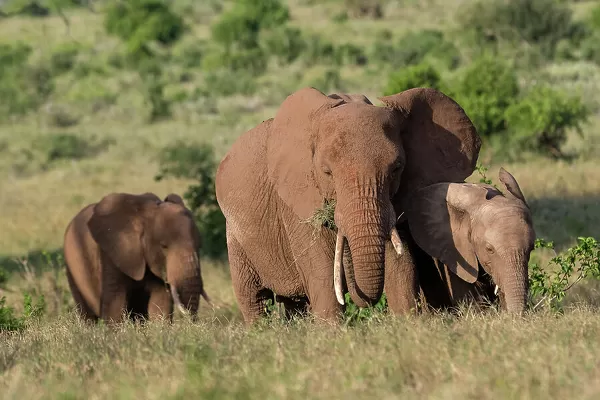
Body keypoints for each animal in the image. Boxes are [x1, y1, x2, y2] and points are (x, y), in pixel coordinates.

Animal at [213, 86, 480, 324]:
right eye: (327, 172)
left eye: (397, 168)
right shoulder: (296, 201)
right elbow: (322, 273)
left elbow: (401, 265)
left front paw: (408, 327)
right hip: (235, 236)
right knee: (254, 299)